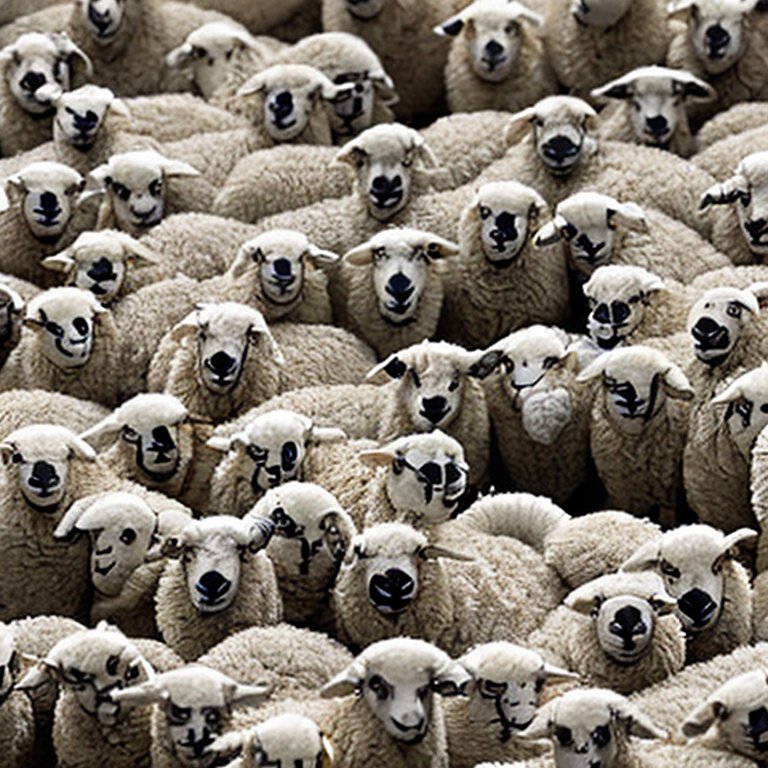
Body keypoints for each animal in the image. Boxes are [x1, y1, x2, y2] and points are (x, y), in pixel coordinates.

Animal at [576, 346, 694, 525]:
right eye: (609, 381)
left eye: (656, 380)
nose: (632, 404)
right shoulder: (620, 491)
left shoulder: (667, 488)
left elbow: (667, 518)